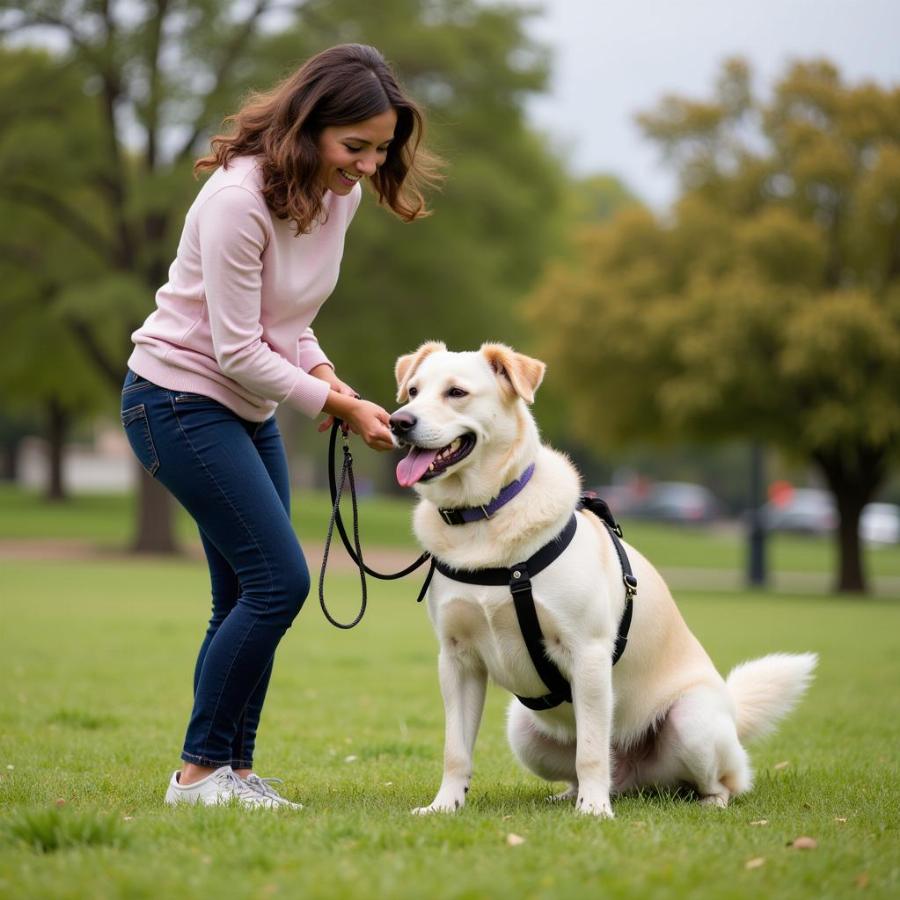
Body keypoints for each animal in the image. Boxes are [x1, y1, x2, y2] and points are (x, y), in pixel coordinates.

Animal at [390, 342, 820, 820]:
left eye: (456, 392)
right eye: (412, 391)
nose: (398, 422)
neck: (485, 518)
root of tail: (634, 777)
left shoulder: (588, 653)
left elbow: (592, 750)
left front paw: (594, 810)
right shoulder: (457, 659)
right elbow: (456, 750)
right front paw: (445, 805)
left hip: (692, 721)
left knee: (721, 780)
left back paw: (700, 801)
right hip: (522, 731)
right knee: (590, 771)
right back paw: (569, 795)